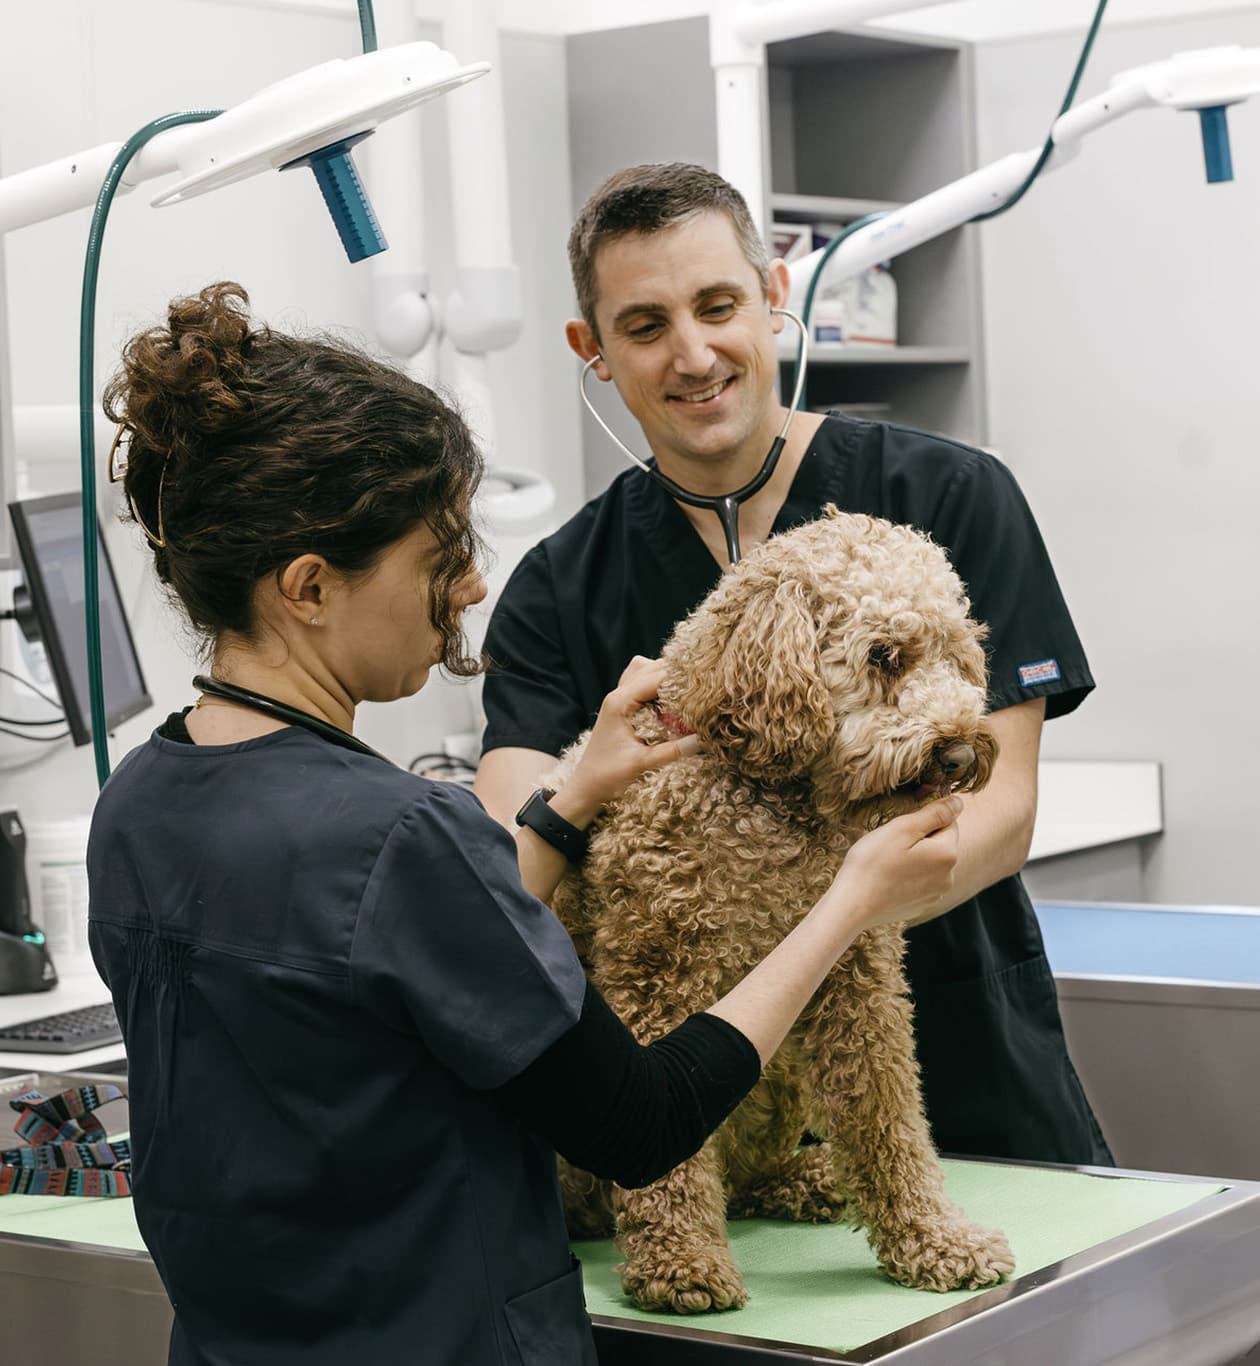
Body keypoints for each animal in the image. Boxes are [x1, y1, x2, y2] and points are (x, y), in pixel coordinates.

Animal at [546, 510, 1011, 1311]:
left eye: (957, 657)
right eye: (884, 656)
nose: (958, 752)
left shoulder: (856, 977)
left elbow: (886, 1115)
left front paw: (932, 1237)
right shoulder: (656, 972)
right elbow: (665, 1149)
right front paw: (681, 1261)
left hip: (779, 1071)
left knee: (744, 1174)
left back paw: (806, 1177)